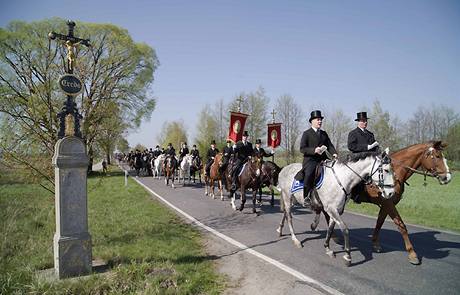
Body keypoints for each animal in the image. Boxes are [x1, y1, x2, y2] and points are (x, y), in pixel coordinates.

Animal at [310, 141, 452, 266]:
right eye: (437, 156)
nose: (448, 177)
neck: (397, 172)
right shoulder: (388, 203)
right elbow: (401, 226)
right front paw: (412, 254)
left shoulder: (386, 203)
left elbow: (379, 222)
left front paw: (375, 244)